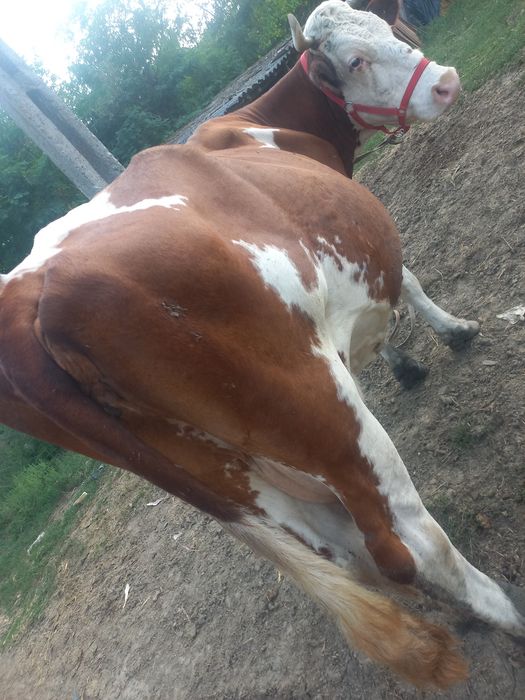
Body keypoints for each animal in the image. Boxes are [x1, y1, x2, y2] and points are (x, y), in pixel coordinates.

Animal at [0, 0, 522, 689]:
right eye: (355, 59)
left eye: (387, 26)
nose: (446, 82)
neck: (257, 126)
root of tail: (31, 295)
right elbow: (405, 276)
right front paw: (451, 333)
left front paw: (403, 360)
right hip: (324, 414)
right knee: (405, 541)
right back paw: (506, 610)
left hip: (225, 477)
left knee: (345, 548)